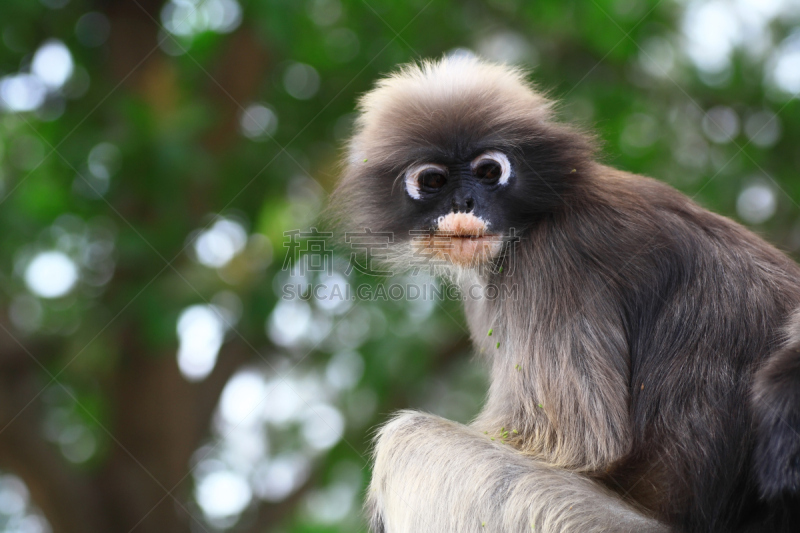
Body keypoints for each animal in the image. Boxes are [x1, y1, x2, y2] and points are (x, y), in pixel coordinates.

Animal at [326, 55, 800, 532]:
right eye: (433, 180)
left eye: (489, 171)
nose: (465, 202)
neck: (536, 216)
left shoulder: (552, 261)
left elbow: (579, 443)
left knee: (405, 439)